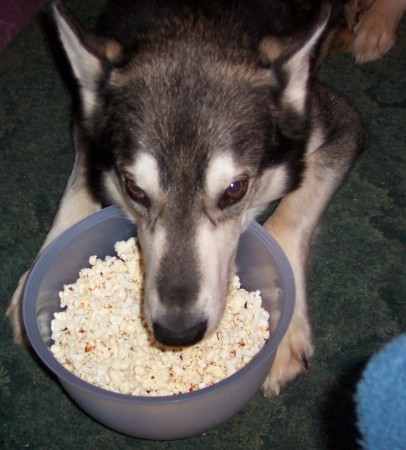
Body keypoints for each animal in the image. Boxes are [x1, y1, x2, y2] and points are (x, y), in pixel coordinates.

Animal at [7, 0, 364, 396]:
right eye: (134, 189)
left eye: (235, 189)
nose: (178, 333)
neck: (192, 21)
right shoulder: (88, 126)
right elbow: (79, 187)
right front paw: (34, 279)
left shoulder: (342, 122)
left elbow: (286, 220)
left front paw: (284, 339)